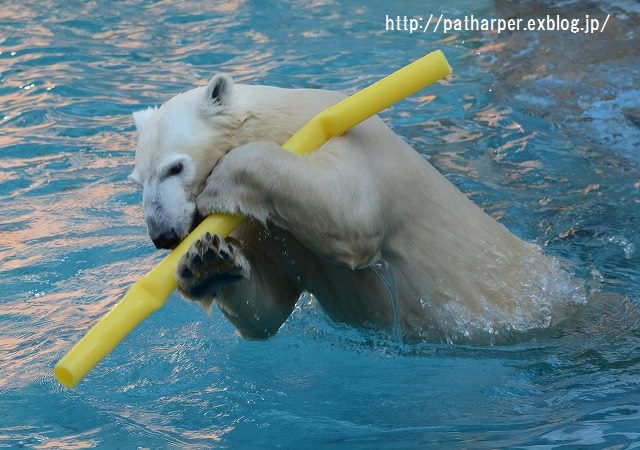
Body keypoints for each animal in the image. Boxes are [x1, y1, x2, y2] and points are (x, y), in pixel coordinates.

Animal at [130, 74, 584, 342]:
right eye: (138, 180)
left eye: (175, 167)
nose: (162, 235)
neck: (279, 120)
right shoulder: (274, 232)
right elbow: (268, 307)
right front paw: (207, 263)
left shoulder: (349, 138)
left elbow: (350, 212)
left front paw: (220, 183)